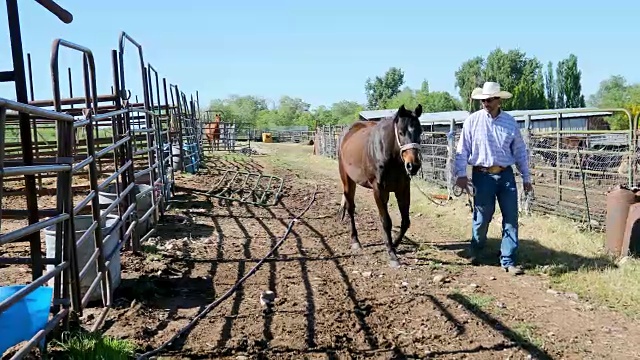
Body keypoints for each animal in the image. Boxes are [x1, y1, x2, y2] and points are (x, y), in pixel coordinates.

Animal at [338, 104, 422, 268]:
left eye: (420, 131)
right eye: (401, 132)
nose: (413, 166)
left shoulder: (403, 189)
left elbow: (405, 221)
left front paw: (394, 245)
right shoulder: (378, 190)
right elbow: (386, 221)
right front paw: (392, 255)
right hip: (347, 181)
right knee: (350, 208)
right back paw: (355, 241)